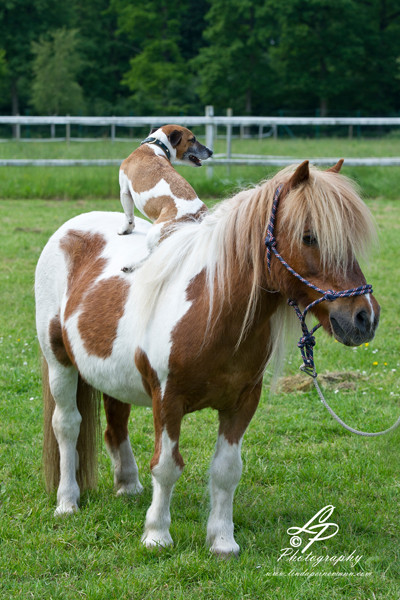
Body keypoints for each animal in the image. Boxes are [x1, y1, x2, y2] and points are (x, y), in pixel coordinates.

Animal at [36, 161, 380, 556]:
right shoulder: (167, 400)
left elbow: (226, 471)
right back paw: (67, 502)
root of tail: (70, 228)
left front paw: (222, 541)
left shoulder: (241, 403)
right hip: (59, 362)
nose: (364, 318)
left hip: (109, 372)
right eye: (309, 237)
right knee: (67, 426)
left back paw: (128, 485)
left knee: (116, 423)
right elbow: (166, 466)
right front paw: (156, 535)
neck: (211, 307)